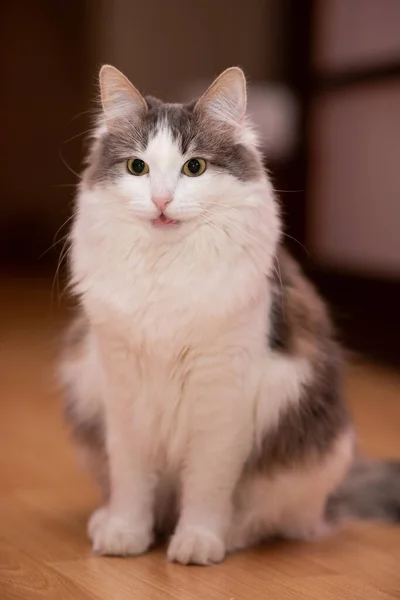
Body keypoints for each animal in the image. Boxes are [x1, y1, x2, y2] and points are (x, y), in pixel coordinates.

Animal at [59, 67, 400, 568]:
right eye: (137, 168)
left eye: (194, 167)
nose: (161, 201)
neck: (167, 272)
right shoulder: (122, 390)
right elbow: (131, 481)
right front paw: (125, 533)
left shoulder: (222, 397)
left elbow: (206, 484)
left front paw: (197, 541)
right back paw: (111, 522)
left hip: (318, 456)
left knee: (270, 519)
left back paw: (228, 535)